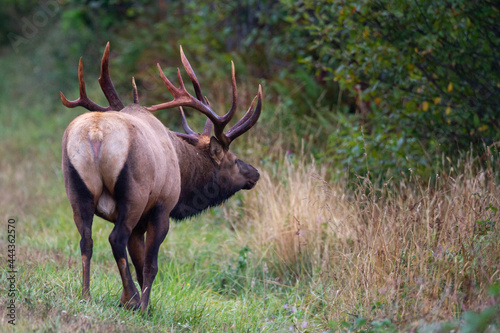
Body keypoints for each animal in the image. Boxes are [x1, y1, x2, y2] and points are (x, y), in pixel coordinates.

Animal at [61, 42, 262, 310]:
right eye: (234, 160)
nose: (255, 173)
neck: (182, 169)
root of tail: (96, 133)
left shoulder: (140, 223)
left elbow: (137, 263)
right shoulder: (161, 208)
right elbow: (150, 265)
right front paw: (143, 306)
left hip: (77, 190)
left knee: (87, 241)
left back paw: (87, 295)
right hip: (134, 195)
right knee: (116, 239)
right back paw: (133, 299)